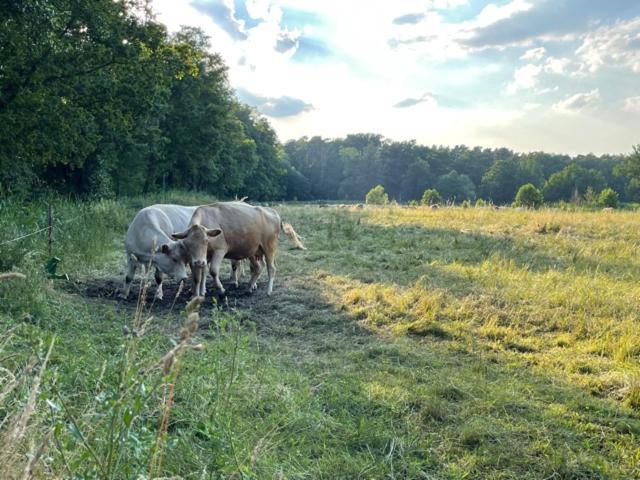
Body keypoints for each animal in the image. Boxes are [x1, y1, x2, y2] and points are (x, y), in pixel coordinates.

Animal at [170, 201, 304, 298]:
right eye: (186, 244)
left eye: (206, 241)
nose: (199, 262)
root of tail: (272, 212)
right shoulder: (199, 258)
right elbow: (198, 276)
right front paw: (196, 294)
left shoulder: (220, 250)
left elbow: (213, 271)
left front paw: (221, 290)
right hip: (254, 250)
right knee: (258, 267)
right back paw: (249, 288)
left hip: (269, 247)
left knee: (271, 268)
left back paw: (268, 291)